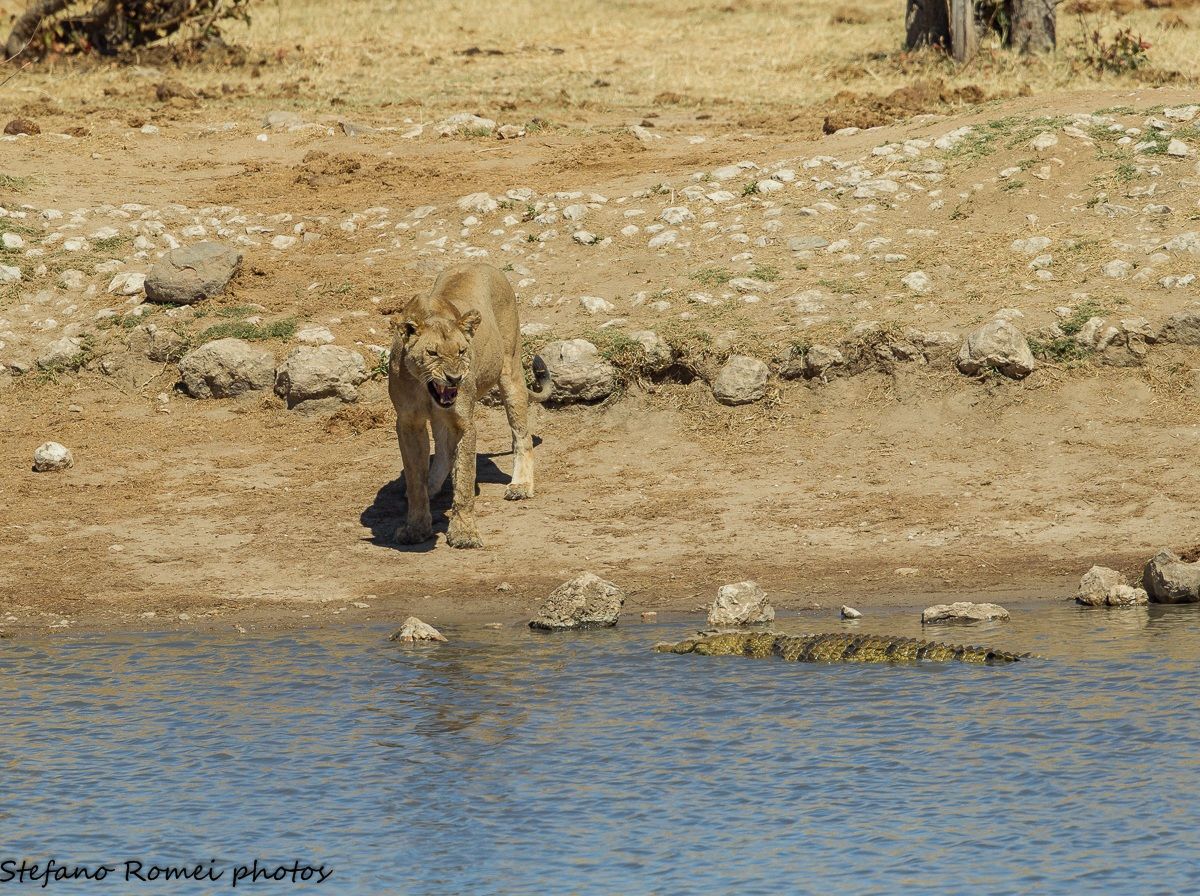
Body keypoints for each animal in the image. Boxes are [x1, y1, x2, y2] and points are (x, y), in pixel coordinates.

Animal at [387, 263, 552, 548]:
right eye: (432, 353)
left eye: (462, 351)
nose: (455, 378)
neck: (424, 389)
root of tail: (483, 263)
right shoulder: (408, 423)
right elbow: (415, 479)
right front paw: (415, 528)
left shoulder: (463, 422)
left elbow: (464, 479)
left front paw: (464, 534)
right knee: (443, 449)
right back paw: (433, 484)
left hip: (510, 369)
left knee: (522, 435)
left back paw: (521, 486)